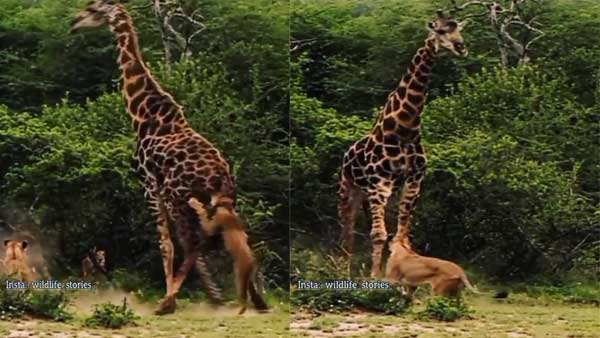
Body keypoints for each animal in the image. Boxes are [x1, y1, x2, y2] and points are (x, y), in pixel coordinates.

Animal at [69, 1, 268, 316]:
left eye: (92, 9)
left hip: (179, 194)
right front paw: (204, 296)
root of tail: (221, 177)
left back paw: (171, 301)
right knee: (232, 238)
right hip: (215, 200)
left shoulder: (149, 182)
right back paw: (250, 300)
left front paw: (170, 299)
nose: (73, 23)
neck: (143, 113)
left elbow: (166, 244)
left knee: (195, 242)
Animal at [338, 10, 468, 278]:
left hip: (373, 192)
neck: (404, 128)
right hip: (349, 188)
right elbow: (378, 235)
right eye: (440, 31)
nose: (461, 47)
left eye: (459, 30)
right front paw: (374, 277)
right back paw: (343, 271)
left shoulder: (413, 181)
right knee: (346, 228)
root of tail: (346, 153)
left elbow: (402, 235)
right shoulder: (379, 184)